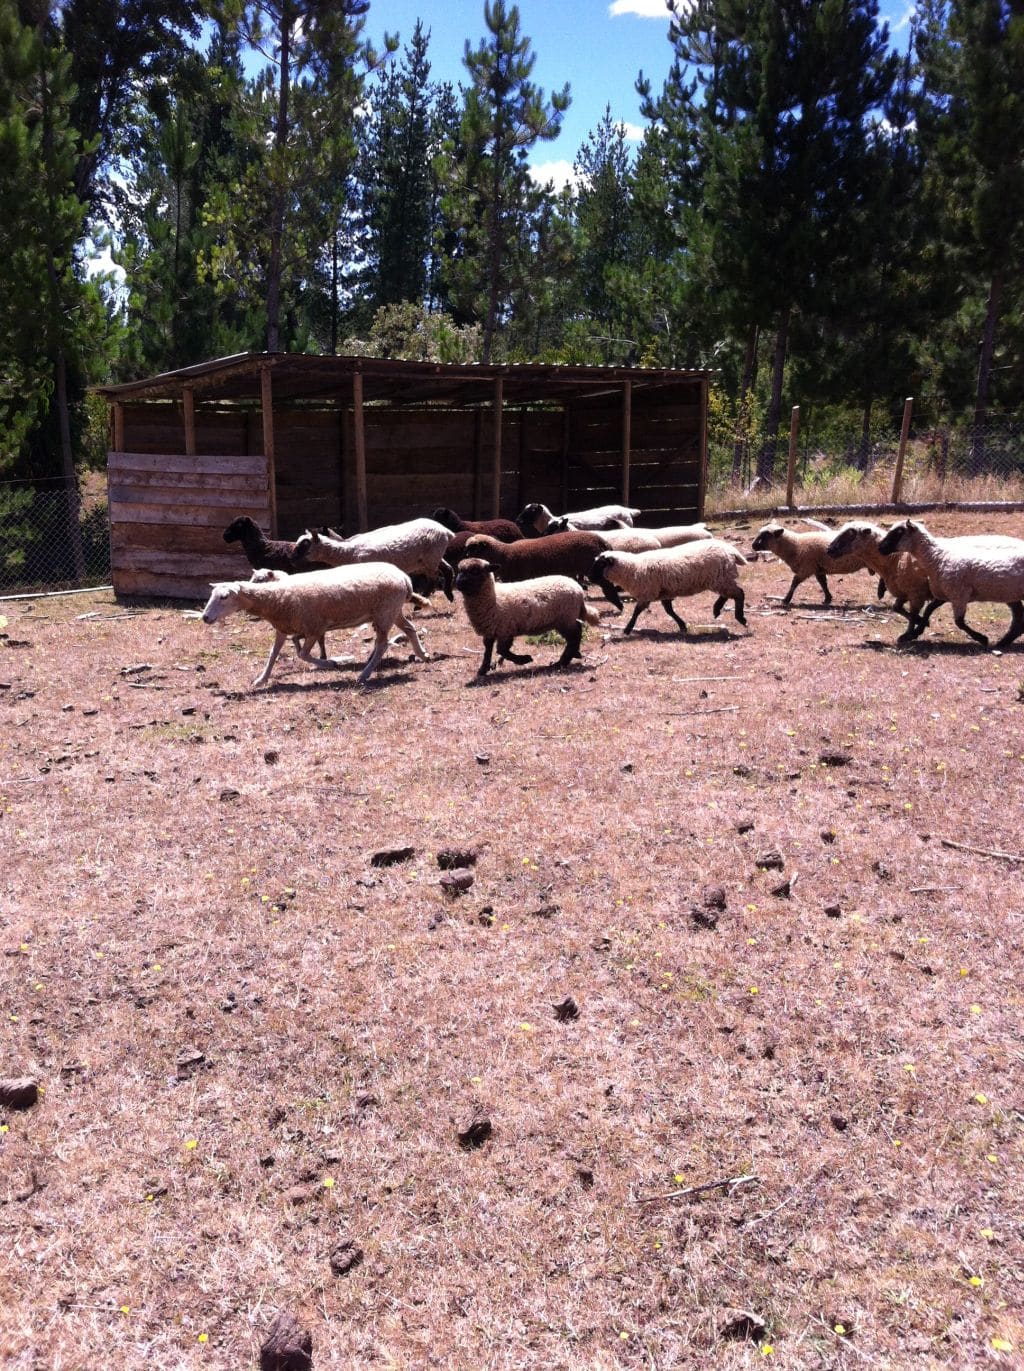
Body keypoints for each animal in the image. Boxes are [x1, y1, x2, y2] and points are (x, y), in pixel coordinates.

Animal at [200, 562, 427, 685]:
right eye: (211, 595)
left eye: (224, 597)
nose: (205, 618)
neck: (276, 598)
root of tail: (404, 577)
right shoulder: (283, 627)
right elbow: (273, 654)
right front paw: (261, 679)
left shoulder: (315, 628)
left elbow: (302, 654)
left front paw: (331, 663)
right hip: (392, 611)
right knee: (410, 629)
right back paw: (422, 654)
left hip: (384, 613)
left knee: (382, 644)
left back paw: (363, 674)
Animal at [296, 515, 457, 597]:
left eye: (305, 545)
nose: (292, 559)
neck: (348, 551)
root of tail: (446, 531)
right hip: (434, 556)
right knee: (448, 570)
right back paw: (449, 595)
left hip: (431, 556)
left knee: (433, 578)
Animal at [455, 556, 600, 674]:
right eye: (459, 570)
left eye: (475, 571)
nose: (458, 583)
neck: (493, 599)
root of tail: (578, 589)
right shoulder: (490, 629)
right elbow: (488, 650)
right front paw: (483, 669)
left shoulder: (505, 630)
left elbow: (501, 650)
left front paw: (524, 659)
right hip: (569, 617)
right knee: (576, 635)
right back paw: (574, 655)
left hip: (566, 618)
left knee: (574, 637)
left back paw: (561, 662)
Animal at [589, 540, 751, 636]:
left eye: (601, 564)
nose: (589, 578)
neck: (633, 568)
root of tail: (730, 550)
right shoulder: (664, 593)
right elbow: (669, 611)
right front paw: (682, 626)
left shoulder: (647, 593)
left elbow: (636, 612)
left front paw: (627, 629)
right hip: (720, 579)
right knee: (729, 594)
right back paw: (717, 609)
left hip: (720, 578)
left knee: (739, 593)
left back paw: (741, 618)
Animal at [877, 518, 1024, 647]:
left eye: (899, 532)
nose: (880, 548)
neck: (938, 558)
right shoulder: (945, 594)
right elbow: (929, 610)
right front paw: (914, 633)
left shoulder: (959, 595)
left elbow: (959, 622)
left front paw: (982, 638)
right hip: (1011, 595)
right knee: (1018, 620)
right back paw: (1003, 643)